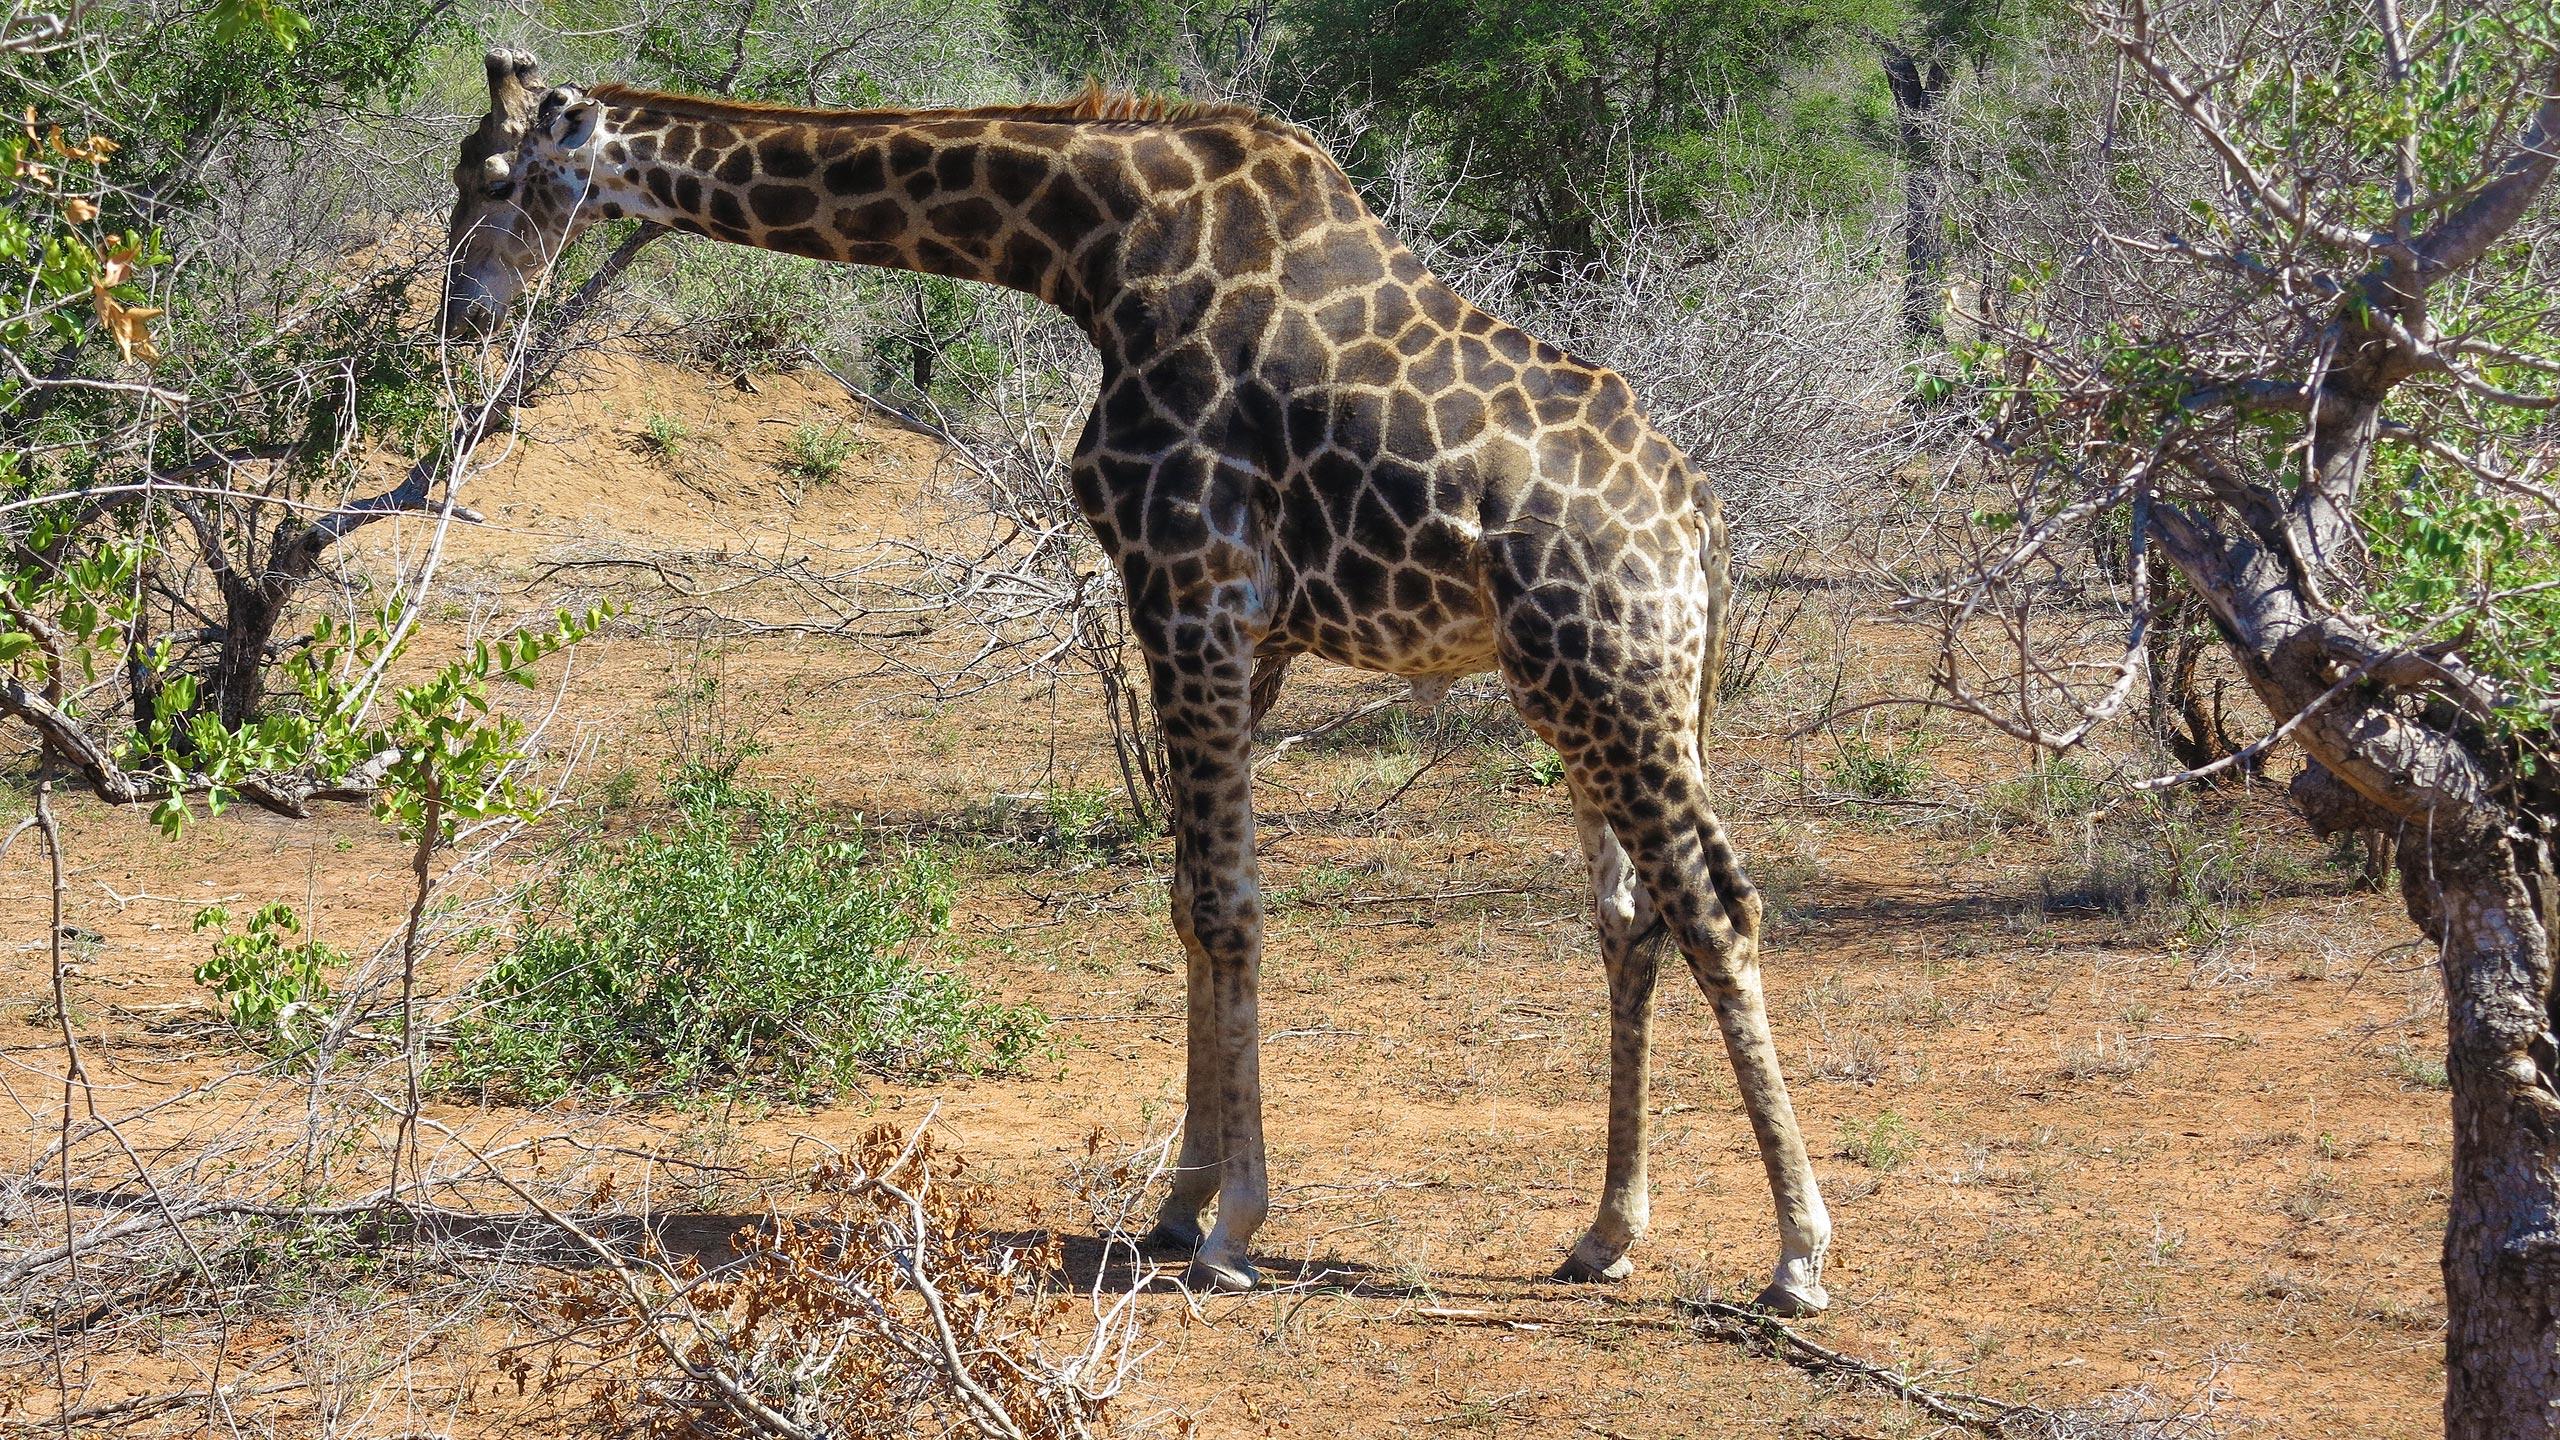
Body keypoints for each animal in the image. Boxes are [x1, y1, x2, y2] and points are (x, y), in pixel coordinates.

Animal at [442, 49, 1832, 1314]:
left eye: (495, 174)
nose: (463, 311)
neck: (1090, 251)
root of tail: (1697, 521)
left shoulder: (1190, 583)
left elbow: (1226, 905)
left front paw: (1235, 1227)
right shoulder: (1231, 626)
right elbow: (1183, 901)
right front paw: (1178, 1203)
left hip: (1610, 674)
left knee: (1718, 906)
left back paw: (1797, 1256)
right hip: (1582, 694)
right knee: (1630, 918)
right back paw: (1605, 1233)